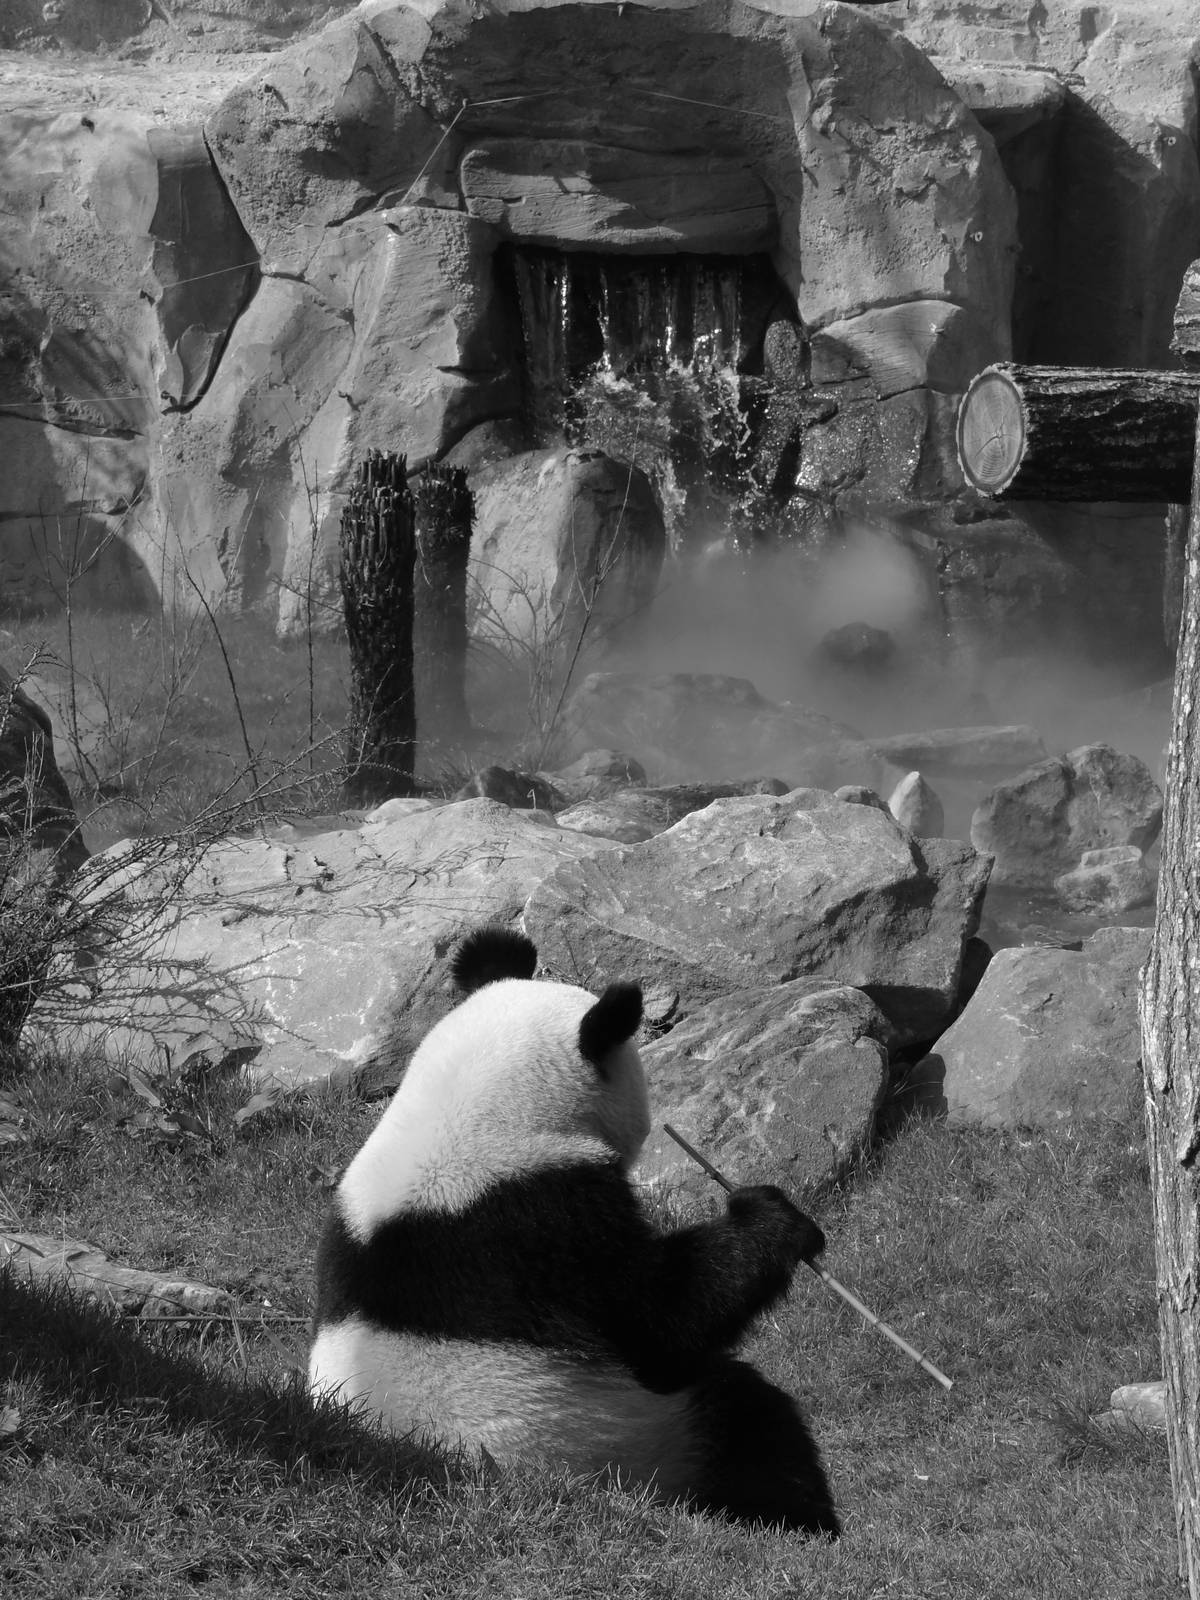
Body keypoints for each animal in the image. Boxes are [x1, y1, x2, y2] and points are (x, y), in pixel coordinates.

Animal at [309, 924, 839, 1536]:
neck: (468, 1114)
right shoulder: (546, 1230)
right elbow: (665, 1317)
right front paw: (774, 1217)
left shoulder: (349, 1211)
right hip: (635, 1440)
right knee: (751, 1421)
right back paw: (797, 1516)